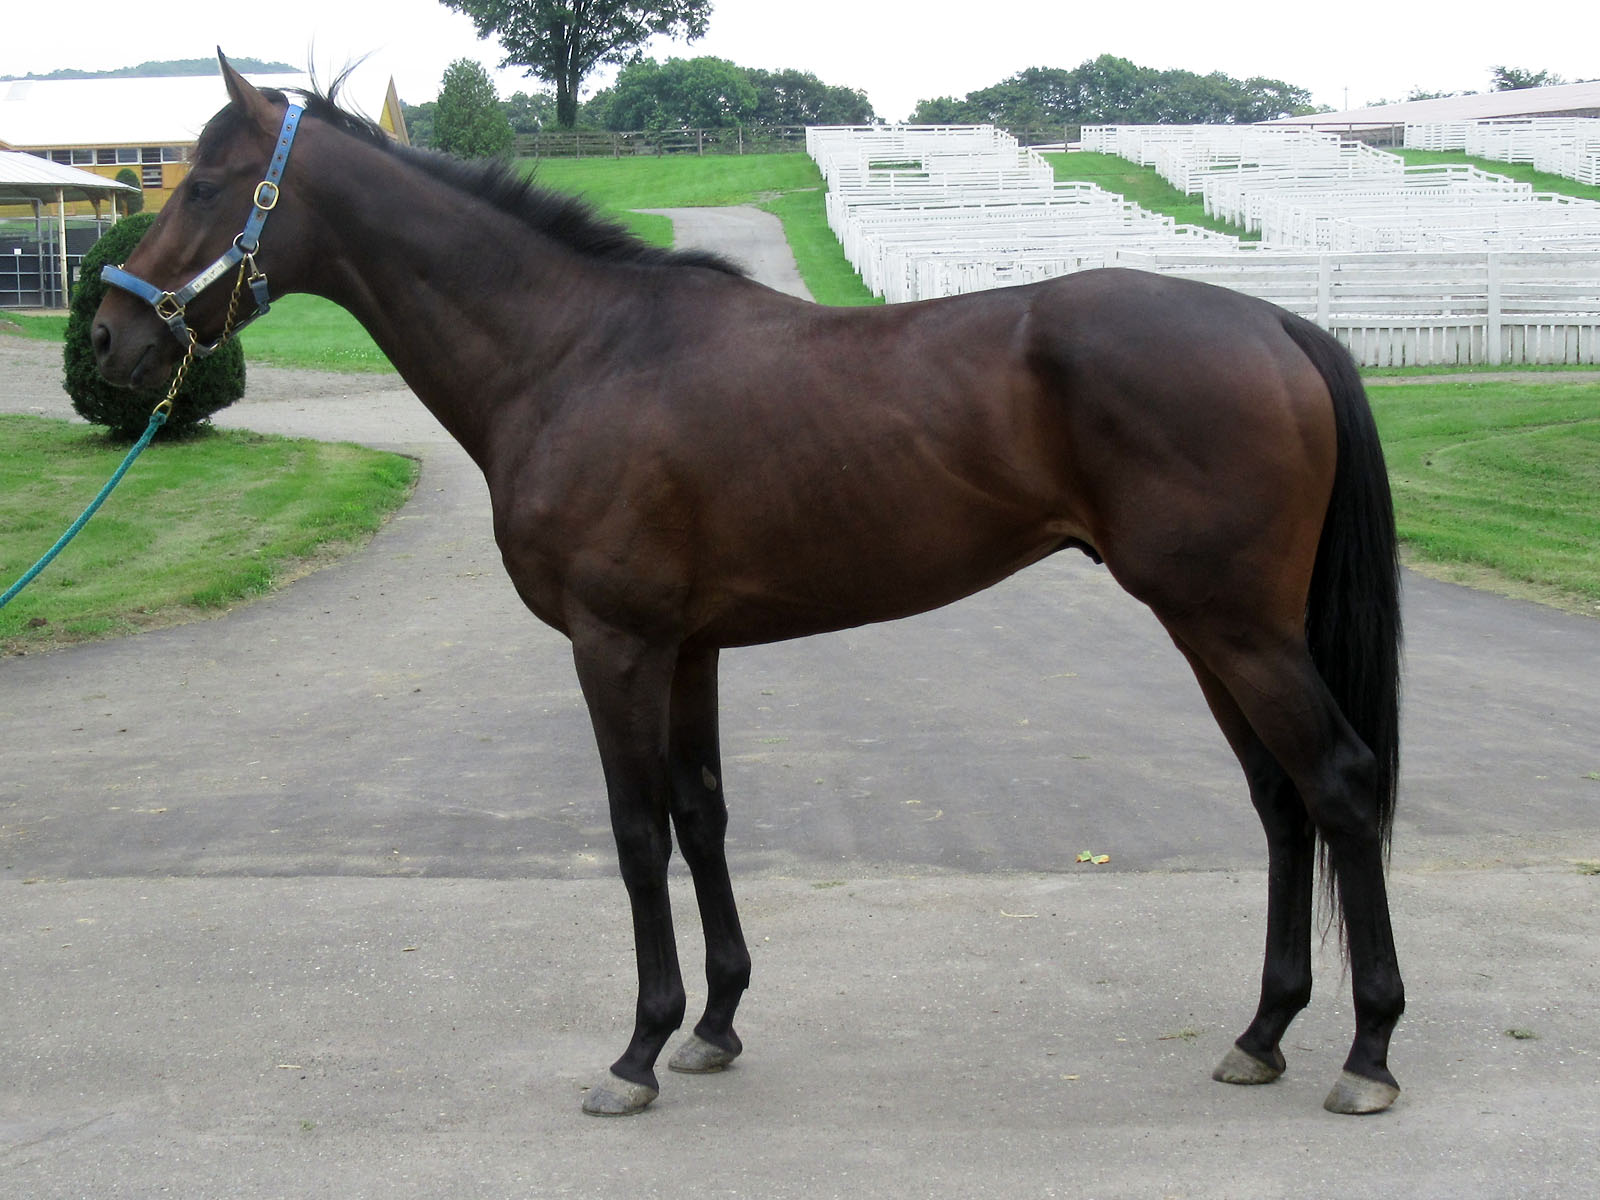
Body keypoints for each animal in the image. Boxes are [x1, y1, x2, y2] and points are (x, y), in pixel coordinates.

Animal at [92, 55, 1405, 1118]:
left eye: (204, 186)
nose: (109, 339)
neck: (574, 352)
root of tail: (1279, 326)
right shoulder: (688, 647)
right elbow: (701, 815)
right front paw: (715, 1025)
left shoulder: (613, 643)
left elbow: (634, 834)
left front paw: (635, 1051)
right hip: (1214, 627)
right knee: (1282, 803)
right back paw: (1262, 1033)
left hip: (1233, 624)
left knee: (1338, 785)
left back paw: (1367, 1054)